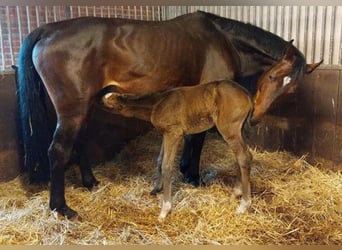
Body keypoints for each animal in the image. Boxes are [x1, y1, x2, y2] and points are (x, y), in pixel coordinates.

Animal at [16, 11, 320, 219]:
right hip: (72, 109)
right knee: (57, 150)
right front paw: (192, 175)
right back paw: (61, 208)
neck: (224, 40)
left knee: (78, 142)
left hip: (83, 107)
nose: (255, 117)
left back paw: (90, 183)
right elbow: (196, 140)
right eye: (272, 76)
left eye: (291, 89)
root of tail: (48, 29)